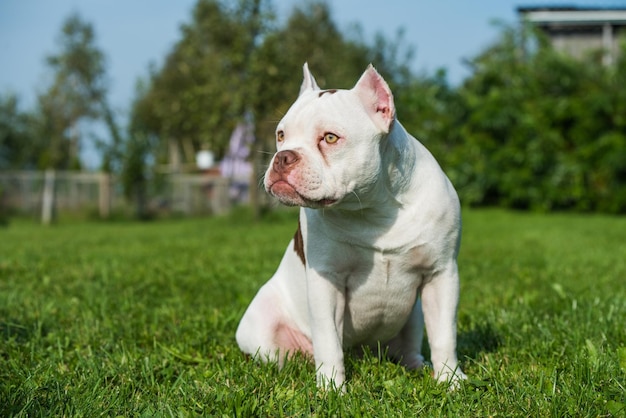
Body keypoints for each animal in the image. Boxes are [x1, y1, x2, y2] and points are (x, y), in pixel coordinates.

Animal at [236, 62, 466, 388]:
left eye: (330, 138)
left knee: (410, 346)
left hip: (415, 315)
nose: (282, 156)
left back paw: (418, 365)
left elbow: (444, 335)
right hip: (262, 326)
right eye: (281, 134)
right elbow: (328, 339)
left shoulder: (441, 273)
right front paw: (331, 387)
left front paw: (451, 380)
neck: (374, 210)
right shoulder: (327, 281)